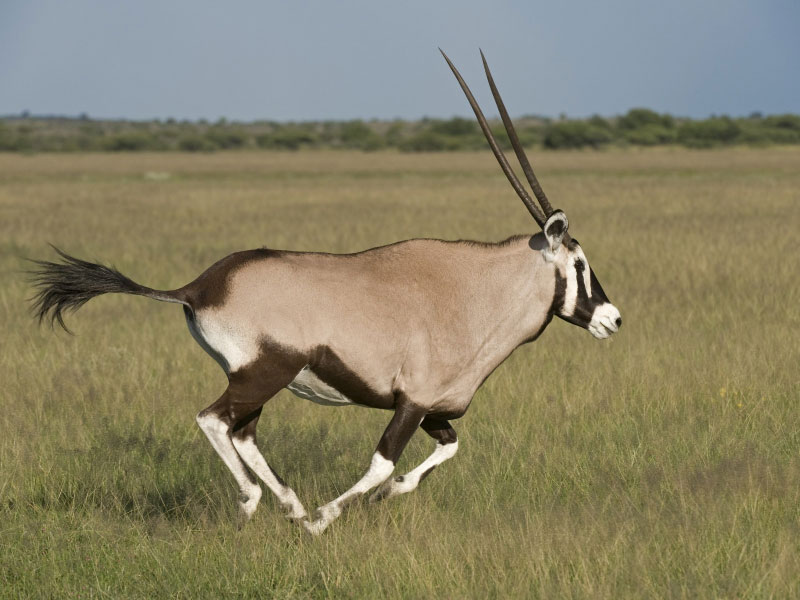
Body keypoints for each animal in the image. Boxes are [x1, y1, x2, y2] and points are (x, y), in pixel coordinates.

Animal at [29, 50, 621, 535]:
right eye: (579, 262)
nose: (612, 319)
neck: (472, 291)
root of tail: (199, 287)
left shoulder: (431, 409)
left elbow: (447, 449)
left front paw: (386, 496)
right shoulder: (411, 403)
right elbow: (382, 462)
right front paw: (324, 518)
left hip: (256, 379)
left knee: (243, 432)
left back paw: (288, 504)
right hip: (266, 371)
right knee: (214, 420)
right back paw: (259, 503)